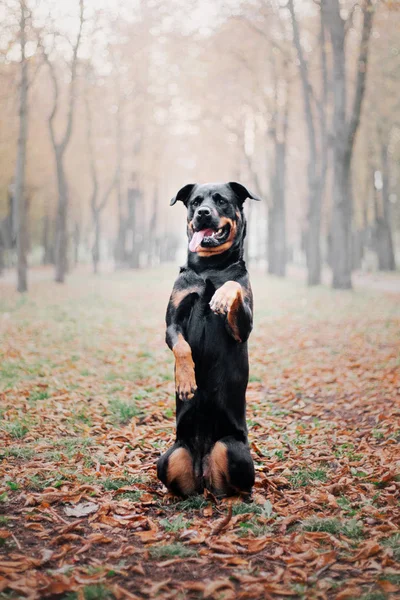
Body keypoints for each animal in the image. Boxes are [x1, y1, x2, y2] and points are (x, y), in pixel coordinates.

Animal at [156, 182, 260, 496]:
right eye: (194, 202)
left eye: (221, 201)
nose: (203, 213)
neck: (208, 269)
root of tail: (203, 469)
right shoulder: (172, 322)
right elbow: (182, 347)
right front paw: (186, 381)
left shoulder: (243, 328)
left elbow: (232, 284)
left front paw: (222, 296)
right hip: (168, 457)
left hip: (231, 449)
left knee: (238, 490)